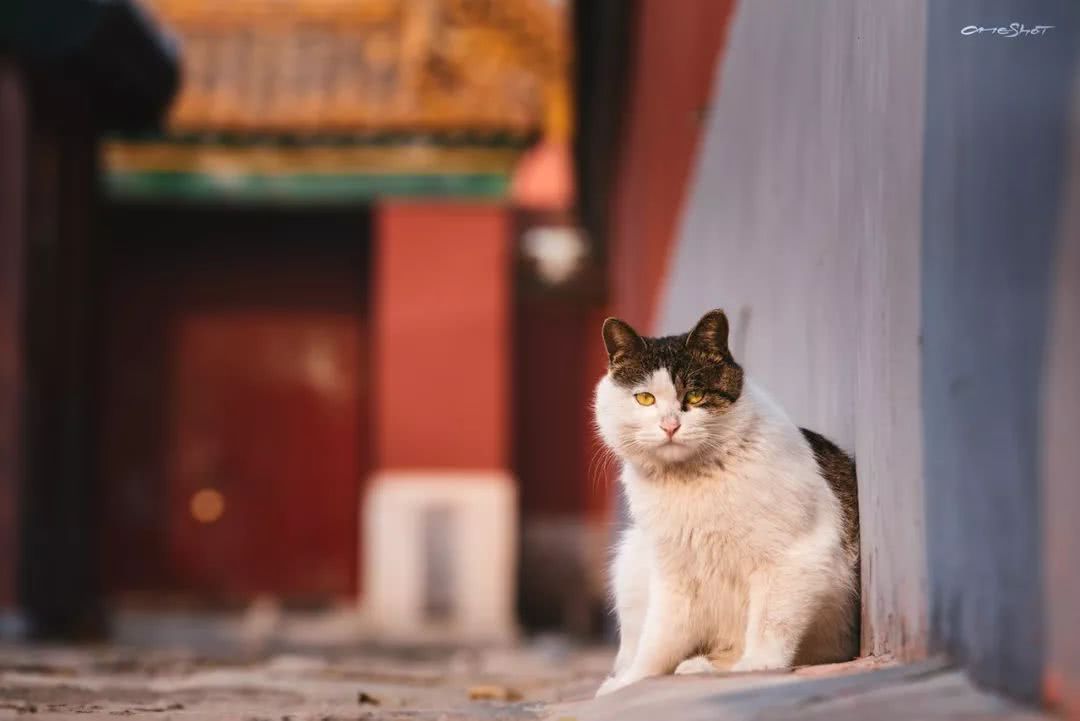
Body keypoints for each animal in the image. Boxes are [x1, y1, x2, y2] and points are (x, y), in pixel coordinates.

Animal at [596, 306, 855, 695]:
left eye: (695, 396)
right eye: (645, 398)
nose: (670, 426)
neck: (691, 482)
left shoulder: (796, 556)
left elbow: (770, 623)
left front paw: (757, 666)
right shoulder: (673, 574)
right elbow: (657, 640)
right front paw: (631, 681)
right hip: (631, 560)